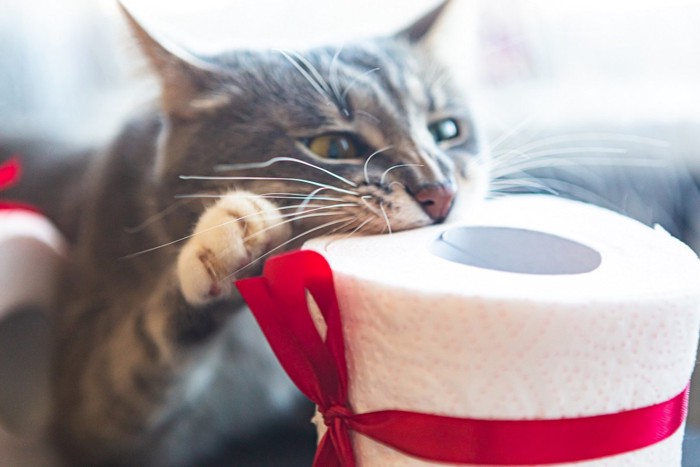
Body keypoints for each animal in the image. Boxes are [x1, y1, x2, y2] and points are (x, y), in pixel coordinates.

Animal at [2, 1, 490, 466]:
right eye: (334, 147)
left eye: (447, 130)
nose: (440, 193)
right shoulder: (86, 409)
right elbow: (138, 353)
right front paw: (230, 242)